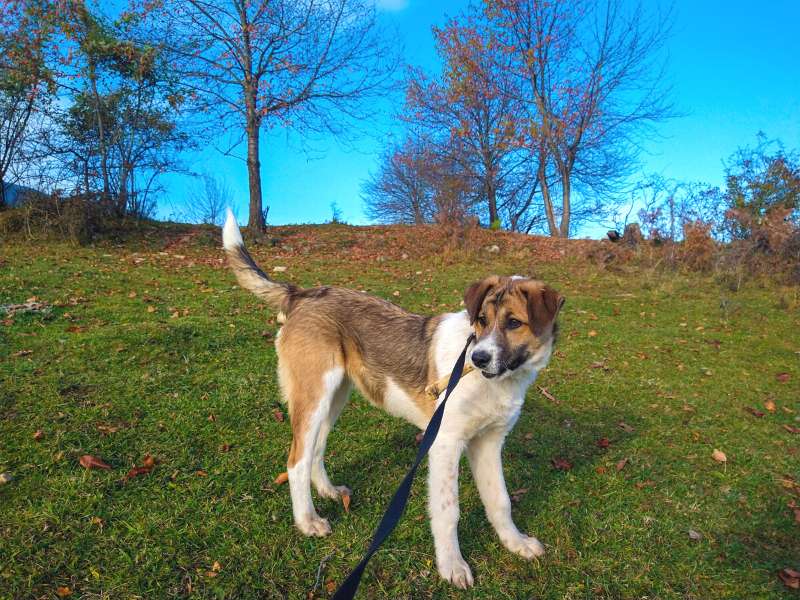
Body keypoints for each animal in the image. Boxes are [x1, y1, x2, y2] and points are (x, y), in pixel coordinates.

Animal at [222, 211, 564, 592]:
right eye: (481, 321)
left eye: (515, 323)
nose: (477, 358)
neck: (498, 383)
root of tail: (303, 293)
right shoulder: (444, 444)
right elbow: (448, 510)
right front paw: (451, 565)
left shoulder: (488, 443)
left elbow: (500, 500)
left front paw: (515, 543)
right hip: (314, 395)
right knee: (296, 460)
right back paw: (308, 520)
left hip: (334, 397)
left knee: (315, 450)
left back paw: (327, 491)